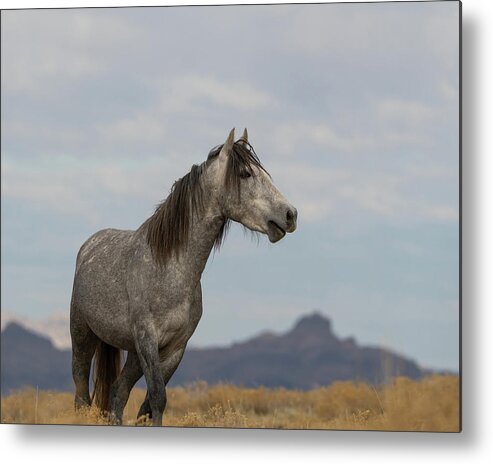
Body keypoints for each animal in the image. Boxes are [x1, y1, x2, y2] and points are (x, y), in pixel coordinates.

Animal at [70, 127, 296, 424]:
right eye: (246, 174)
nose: (290, 215)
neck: (169, 268)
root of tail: (89, 246)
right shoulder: (147, 340)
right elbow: (157, 397)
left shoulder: (174, 348)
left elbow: (149, 405)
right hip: (83, 337)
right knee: (81, 395)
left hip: (131, 353)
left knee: (117, 392)